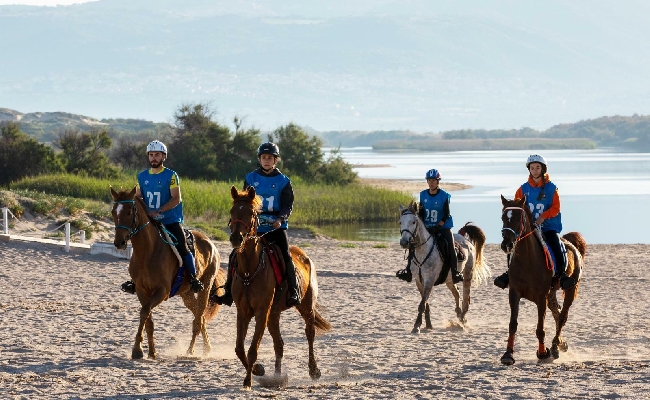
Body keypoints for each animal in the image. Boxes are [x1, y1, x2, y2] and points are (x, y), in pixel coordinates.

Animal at [110, 187, 224, 360]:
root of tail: (209, 242)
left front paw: (137, 350)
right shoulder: (142, 291)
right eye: (113, 212)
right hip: (186, 293)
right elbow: (148, 319)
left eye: (129, 212)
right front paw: (151, 351)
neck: (147, 253)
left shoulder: (162, 291)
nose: (119, 243)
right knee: (201, 316)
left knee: (198, 319)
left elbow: (144, 312)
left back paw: (191, 351)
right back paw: (207, 348)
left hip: (205, 286)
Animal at [227, 186, 330, 390]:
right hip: (274, 314)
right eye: (232, 211)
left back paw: (314, 370)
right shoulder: (243, 312)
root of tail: (304, 255)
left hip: (306, 307)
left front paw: (248, 380)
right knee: (279, 344)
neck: (249, 271)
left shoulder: (261, 312)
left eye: (250, 213)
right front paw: (258, 370)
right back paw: (277, 376)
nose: (236, 238)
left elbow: (252, 349)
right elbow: (239, 348)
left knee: (310, 334)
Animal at [394, 200, 492, 334]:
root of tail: (463, 238)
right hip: (449, 279)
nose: (404, 242)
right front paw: (428, 325)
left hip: (467, 275)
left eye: (413, 222)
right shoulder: (419, 281)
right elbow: (425, 303)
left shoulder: (429, 280)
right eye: (400, 222)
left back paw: (463, 320)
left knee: (466, 298)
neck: (422, 250)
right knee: (457, 293)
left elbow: (422, 304)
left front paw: (417, 326)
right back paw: (458, 314)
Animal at [498, 195, 584, 366]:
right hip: (551, 294)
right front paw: (508, 354)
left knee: (562, 316)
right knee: (557, 312)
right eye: (503, 218)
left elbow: (540, 328)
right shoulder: (514, 294)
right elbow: (512, 325)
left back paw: (555, 346)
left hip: (570, 289)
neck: (527, 261)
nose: (507, 244)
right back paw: (561, 344)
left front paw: (543, 353)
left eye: (518, 218)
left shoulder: (541, 297)